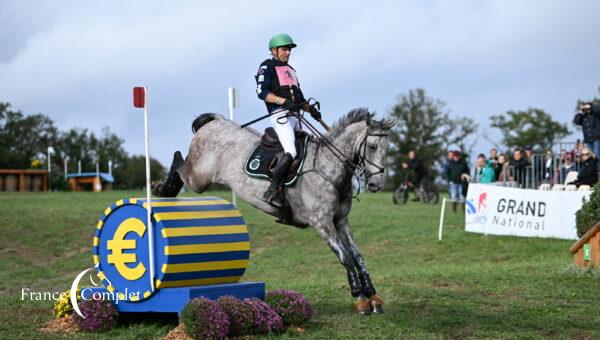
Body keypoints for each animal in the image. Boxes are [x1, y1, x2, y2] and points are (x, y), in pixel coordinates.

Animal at [155, 108, 398, 314]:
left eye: (388, 149)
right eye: (372, 146)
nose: (376, 185)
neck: (328, 167)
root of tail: (215, 121)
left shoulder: (340, 221)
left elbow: (358, 256)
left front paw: (373, 296)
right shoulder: (322, 223)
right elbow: (345, 257)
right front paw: (359, 298)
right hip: (198, 178)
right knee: (179, 160)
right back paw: (163, 189)